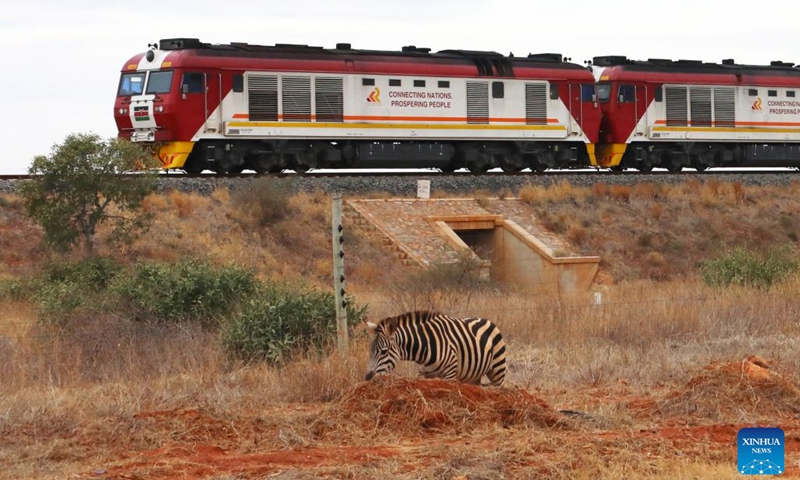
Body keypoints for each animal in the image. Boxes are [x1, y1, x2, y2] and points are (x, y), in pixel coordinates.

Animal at [364, 312, 506, 386]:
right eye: (370, 351)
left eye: (384, 351)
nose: (368, 378)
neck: (424, 347)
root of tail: (486, 319)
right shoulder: (423, 374)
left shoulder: (450, 373)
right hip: (473, 376)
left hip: (498, 370)